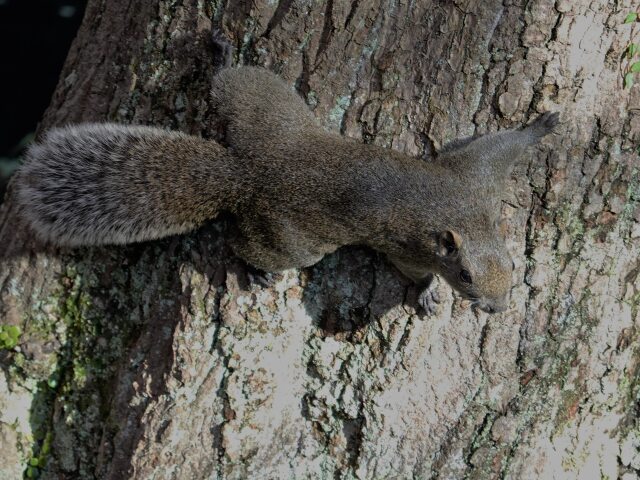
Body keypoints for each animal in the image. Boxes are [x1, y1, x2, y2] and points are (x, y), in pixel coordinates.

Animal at [12, 31, 556, 314]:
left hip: (267, 106)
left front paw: (542, 126)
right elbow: (412, 270)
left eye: (513, 266)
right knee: (242, 241)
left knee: (232, 82)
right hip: (292, 238)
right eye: (464, 275)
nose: (496, 309)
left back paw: (223, 55)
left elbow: (498, 145)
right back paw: (251, 270)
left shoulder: (475, 179)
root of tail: (244, 172)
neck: (466, 218)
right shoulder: (413, 242)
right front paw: (424, 295)